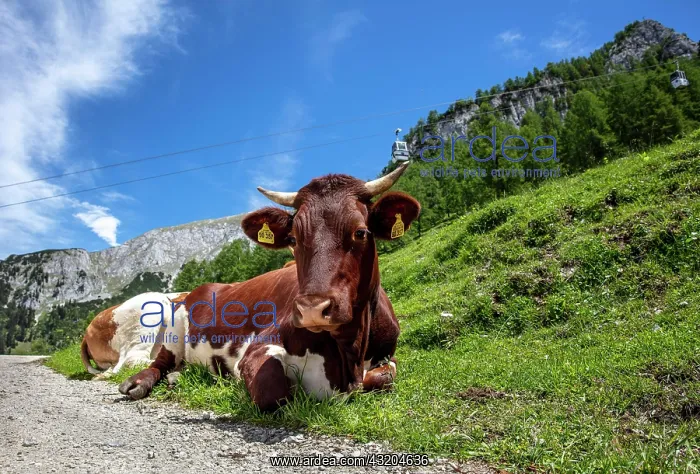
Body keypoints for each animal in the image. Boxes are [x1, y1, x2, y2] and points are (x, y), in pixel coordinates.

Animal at [118, 163, 420, 411]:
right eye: (293, 239)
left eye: (360, 232)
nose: (312, 309)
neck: (349, 355)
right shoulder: (258, 348)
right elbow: (271, 390)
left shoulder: (387, 355)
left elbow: (384, 376)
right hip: (174, 329)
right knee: (160, 362)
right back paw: (139, 382)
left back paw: (178, 377)